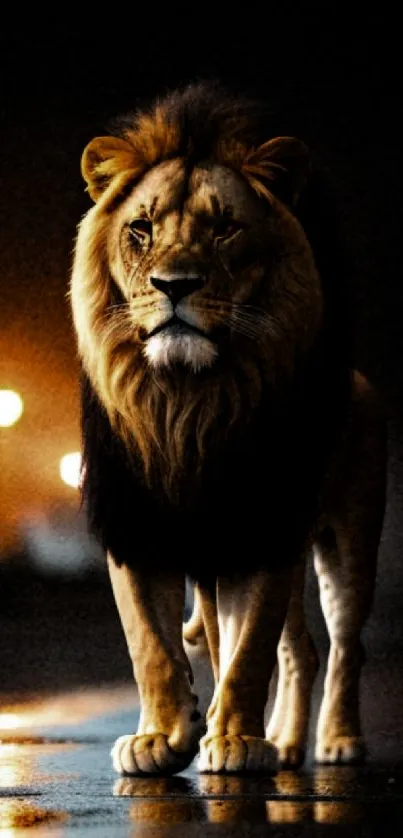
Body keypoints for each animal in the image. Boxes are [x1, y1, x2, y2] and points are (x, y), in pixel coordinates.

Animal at [69, 82, 386, 776]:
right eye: (140, 229)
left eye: (225, 229)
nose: (174, 285)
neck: (187, 398)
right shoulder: (137, 522)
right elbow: (151, 644)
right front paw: (164, 737)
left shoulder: (259, 523)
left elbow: (247, 652)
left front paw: (236, 741)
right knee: (300, 648)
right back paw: (287, 745)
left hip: (346, 542)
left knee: (344, 644)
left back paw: (337, 742)